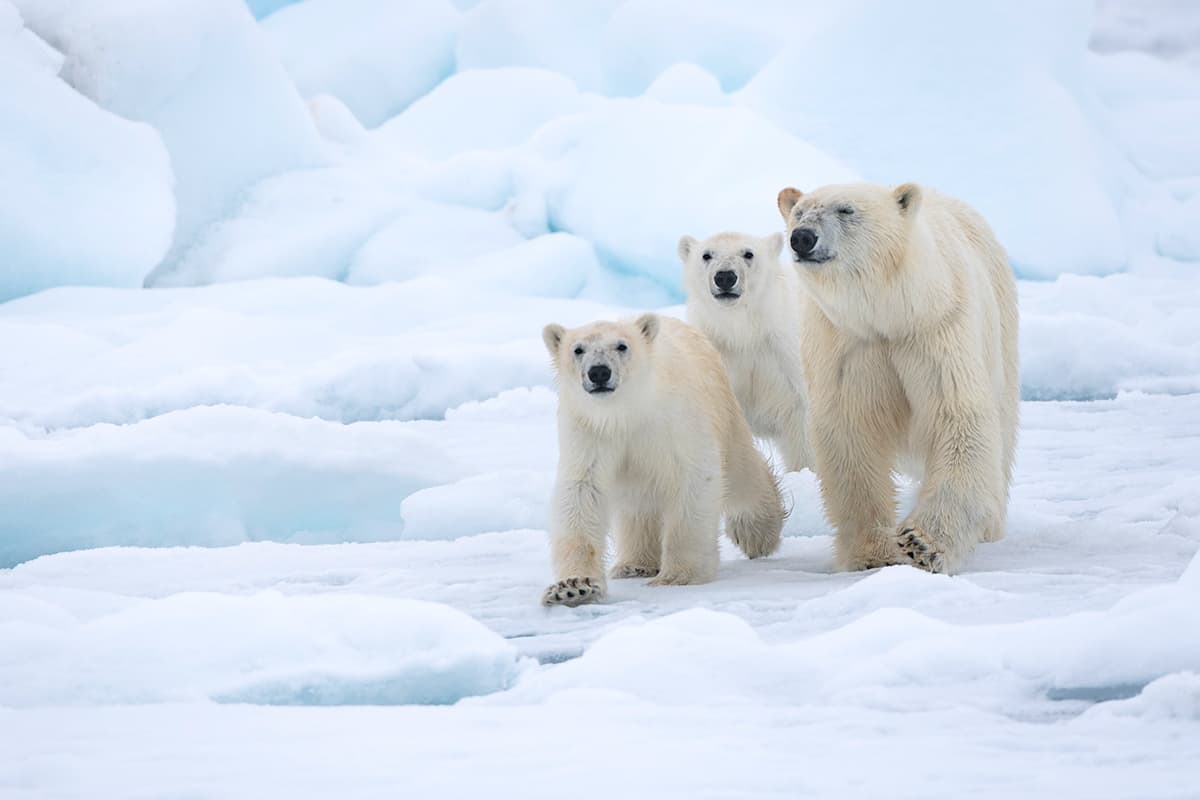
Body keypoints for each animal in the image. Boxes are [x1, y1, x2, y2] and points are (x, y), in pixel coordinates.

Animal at [540, 311, 782, 606]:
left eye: (622, 346)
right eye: (578, 349)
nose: (599, 372)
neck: (626, 412)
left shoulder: (676, 420)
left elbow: (695, 477)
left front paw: (678, 575)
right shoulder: (590, 432)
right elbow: (581, 493)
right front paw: (573, 587)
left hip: (723, 408)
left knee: (740, 473)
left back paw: (757, 533)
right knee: (638, 505)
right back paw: (635, 564)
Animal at [772, 183, 1017, 573]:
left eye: (846, 210)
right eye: (799, 213)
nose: (803, 238)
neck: (892, 313)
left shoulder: (938, 331)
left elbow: (958, 420)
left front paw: (922, 543)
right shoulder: (847, 346)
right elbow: (851, 434)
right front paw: (874, 553)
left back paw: (989, 527)